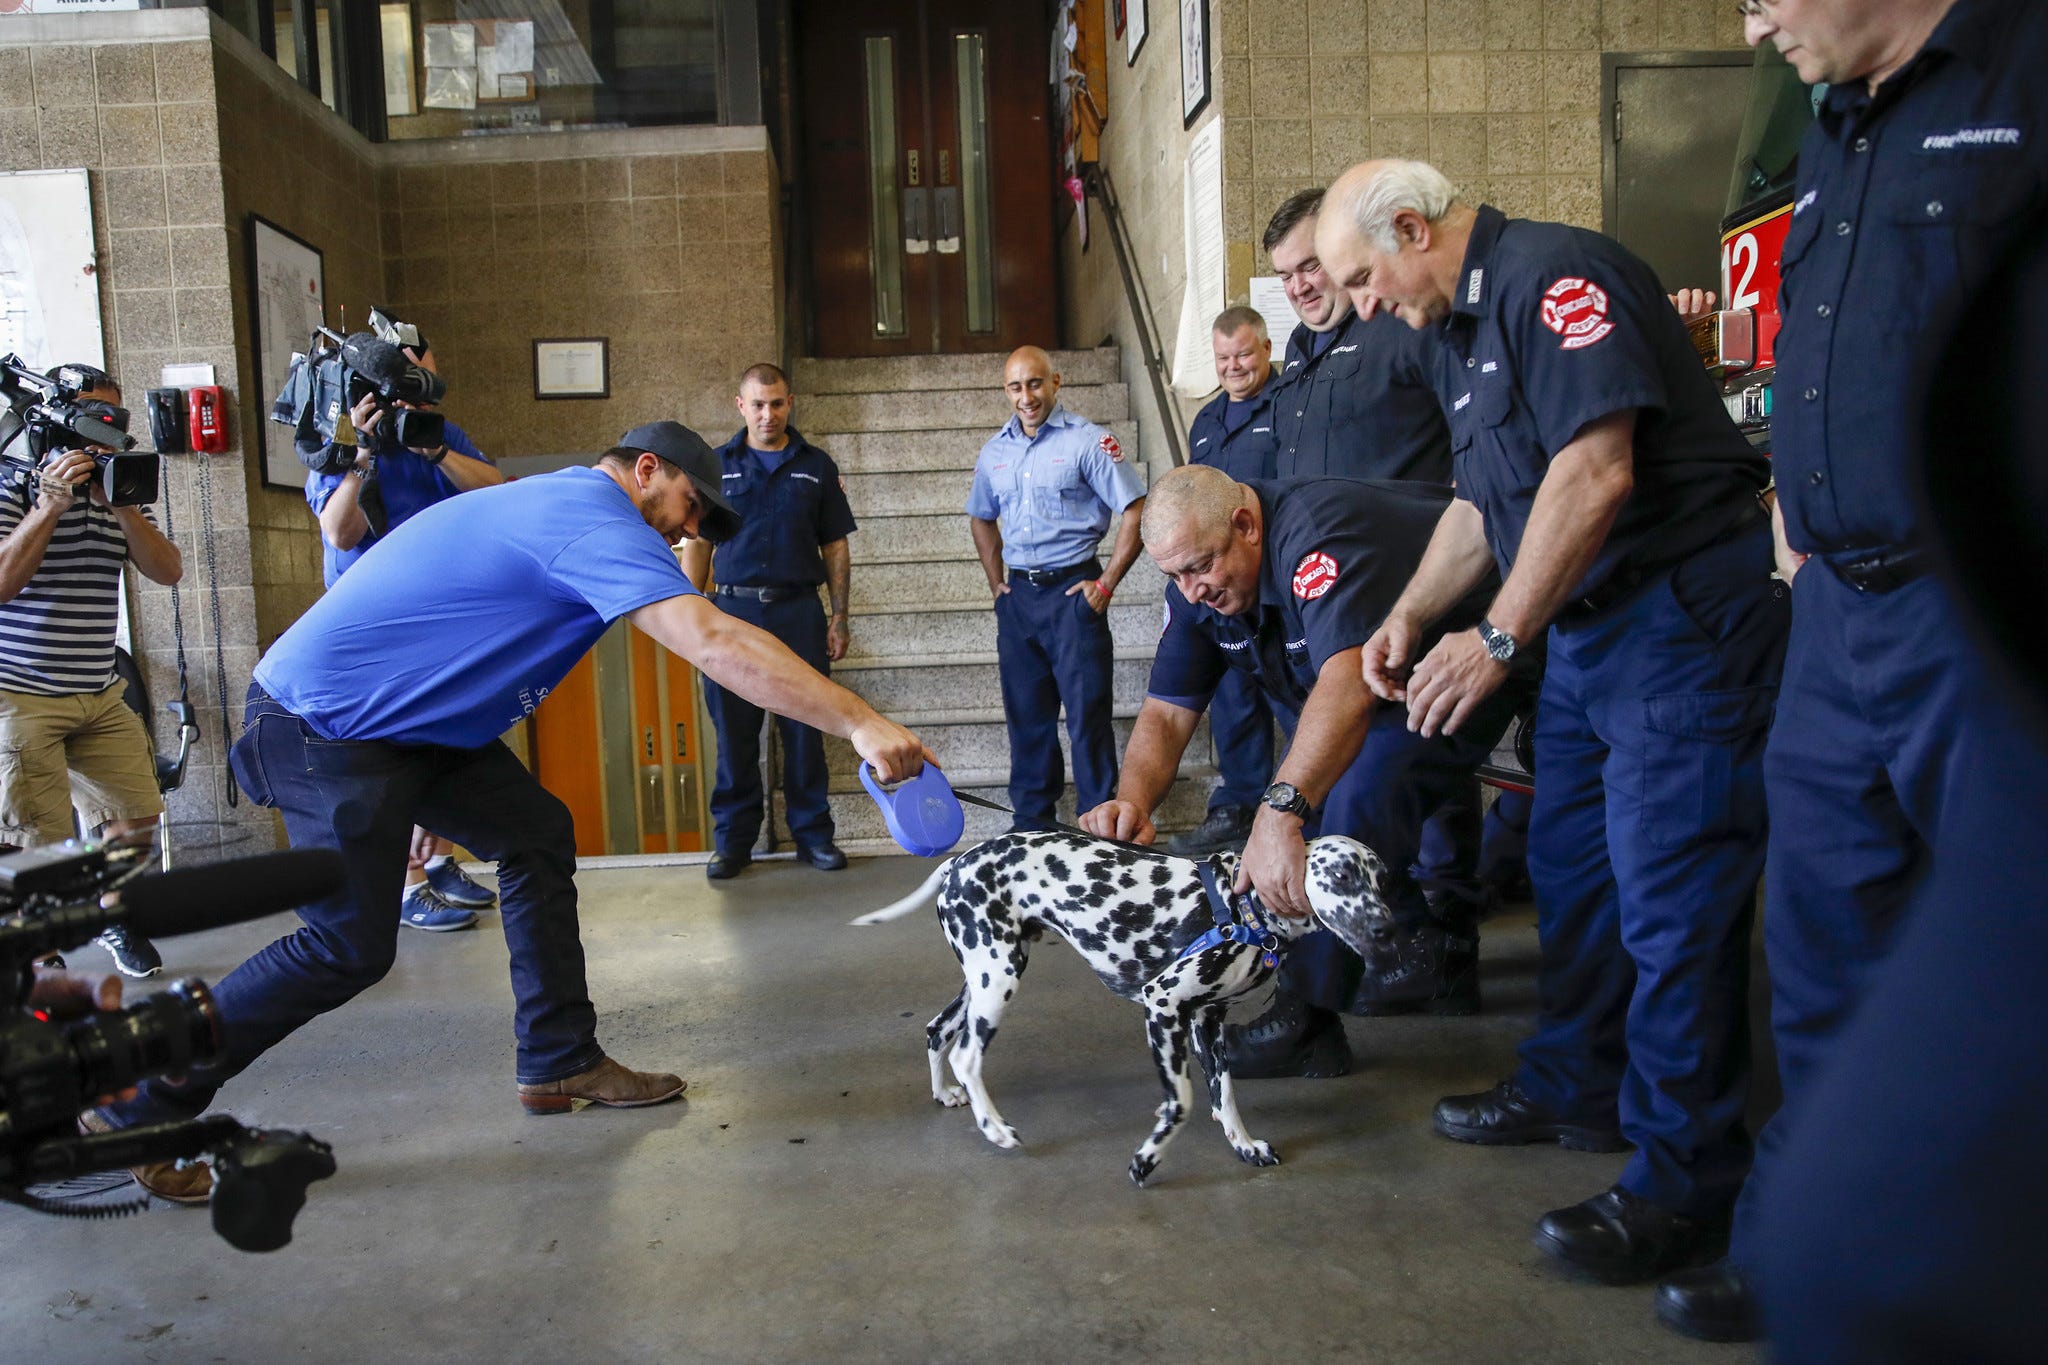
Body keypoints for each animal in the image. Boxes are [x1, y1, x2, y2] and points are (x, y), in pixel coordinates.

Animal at [853, 829, 1393, 1185]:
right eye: (1341, 874)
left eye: (1383, 880)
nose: (1388, 929)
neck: (1246, 906)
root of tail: (961, 860)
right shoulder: (1163, 1005)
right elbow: (1182, 1103)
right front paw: (1147, 1159)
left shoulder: (1207, 1024)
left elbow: (1224, 1096)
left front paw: (1243, 1144)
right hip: (996, 981)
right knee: (967, 1056)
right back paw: (996, 1130)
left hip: (986, 977)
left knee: (938, 1030)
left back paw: (944, 1092)